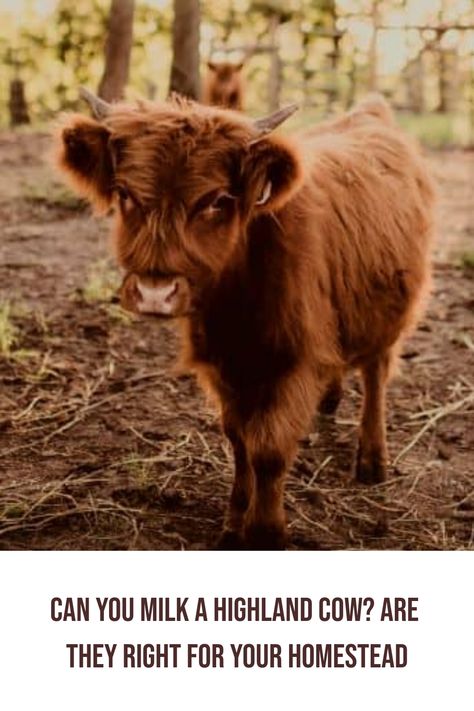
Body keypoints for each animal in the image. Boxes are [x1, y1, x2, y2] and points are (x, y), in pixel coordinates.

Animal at [57, 90, 436, 552]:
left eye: (217, 200)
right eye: (125, 194)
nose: (154, 293)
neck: (237, 309)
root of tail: (370, 113)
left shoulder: (296, 363)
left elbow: (269, 450)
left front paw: (266, 532)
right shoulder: (223, 365)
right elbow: (239, 440)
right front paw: (234, 524)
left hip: (391, 312)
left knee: (377, 374)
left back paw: (371, 460)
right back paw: (330, 401)